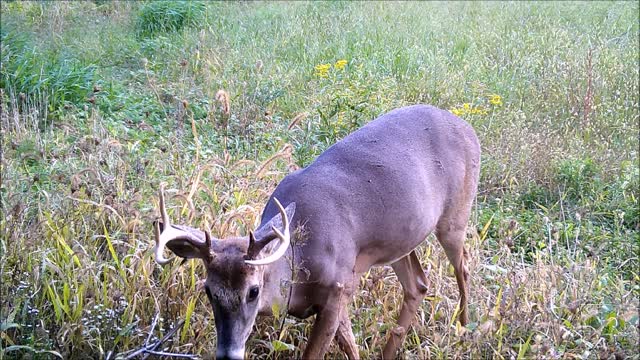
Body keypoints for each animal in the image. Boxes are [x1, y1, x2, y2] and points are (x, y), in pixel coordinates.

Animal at [152, 103, 478, 358]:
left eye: (253, 291)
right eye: (208, 291)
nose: (229, 354)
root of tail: (468, 127)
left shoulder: (338, 287)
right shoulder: (345, 286)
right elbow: (350, 346)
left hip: (455, 216)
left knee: (463, 267)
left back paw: (464, 328)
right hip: (402, 238)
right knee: (418, 284)